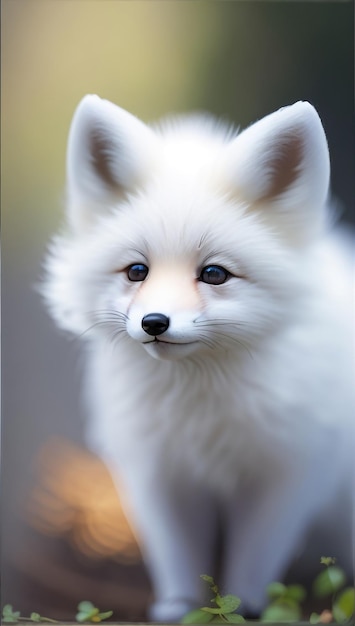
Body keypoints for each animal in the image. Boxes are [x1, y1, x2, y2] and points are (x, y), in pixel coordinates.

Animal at [43, 97, 354, 620]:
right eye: (137, 271)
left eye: (213, 273)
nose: (154, 322)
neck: (200, 407)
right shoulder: (162, 476)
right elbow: (179, 563)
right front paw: (179, 610)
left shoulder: (284, 478)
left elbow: (251, 568)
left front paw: (244, 612)